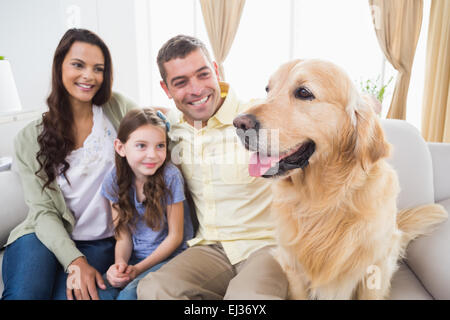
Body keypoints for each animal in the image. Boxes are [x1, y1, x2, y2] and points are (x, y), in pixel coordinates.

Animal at [234, 58, 448, 300]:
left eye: (304, 92)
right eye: (268, 89)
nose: (239, 124)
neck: (322, 201)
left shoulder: (373, 270)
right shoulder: (293, 268)